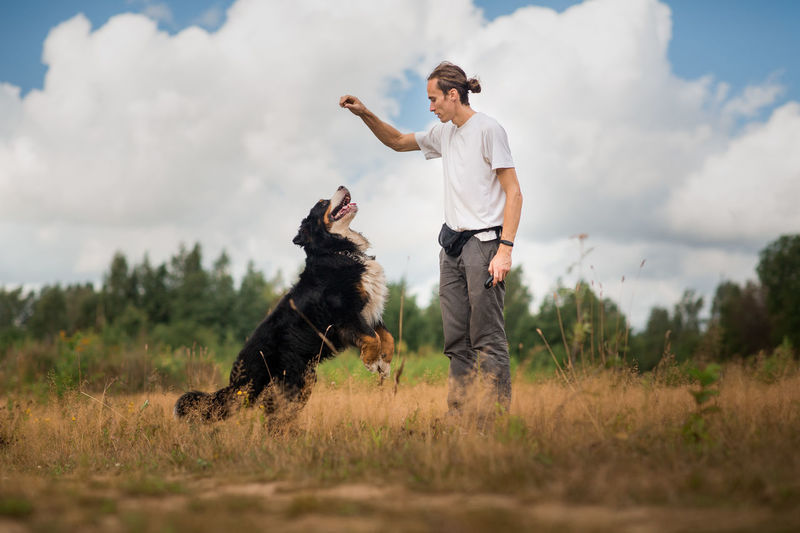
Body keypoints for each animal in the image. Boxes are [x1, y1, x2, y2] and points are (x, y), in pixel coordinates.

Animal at [178, 185, 396, 422]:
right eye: (322, 203)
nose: (341, 186)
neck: (337, 251)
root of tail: (236, 379)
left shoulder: (369, 311)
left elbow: (387, 337)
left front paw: (385, 364)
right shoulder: (346, 314)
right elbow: (372, 337)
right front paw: (371, 362)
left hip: (303, 382)